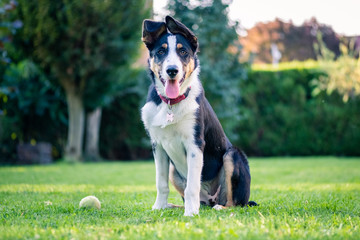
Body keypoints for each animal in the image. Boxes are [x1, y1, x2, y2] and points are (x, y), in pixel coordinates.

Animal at [139, 15, 255, 217]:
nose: (172, 71)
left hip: (232, 155)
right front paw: (159, 207)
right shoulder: (158, 146)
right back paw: (173, 206)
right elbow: (161, 184)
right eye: (160, 51)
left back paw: (217, 207)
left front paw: (191, 213)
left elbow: (192, 186)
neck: (171, 103)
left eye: (183, 51)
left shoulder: (195, 144)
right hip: (173, 170)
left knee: (233, 203)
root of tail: (210, 199)